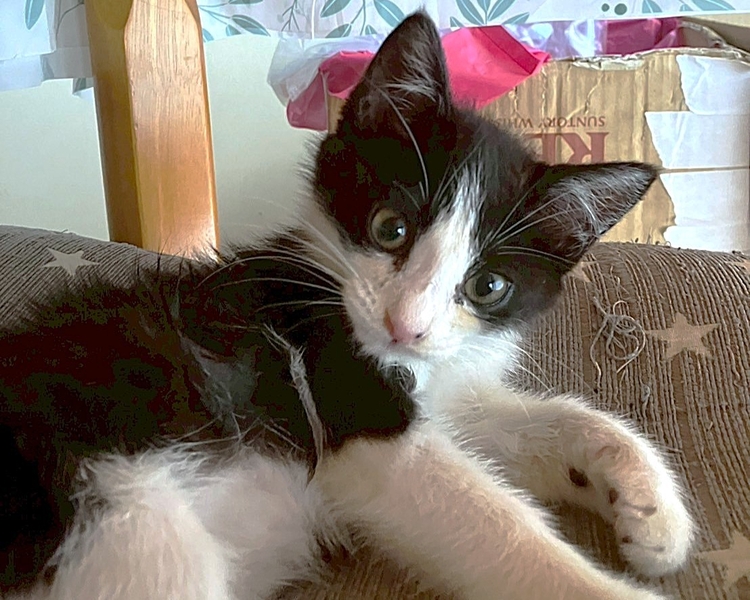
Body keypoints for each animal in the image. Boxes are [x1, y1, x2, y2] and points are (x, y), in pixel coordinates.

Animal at [0, 12, 693, 600]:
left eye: (487, 287)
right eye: (390, 228)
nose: (403, 325)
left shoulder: (441, 381)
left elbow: (536, 419)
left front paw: (651, 511)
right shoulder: (348, 405)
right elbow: (495, 522)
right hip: (130, 523)